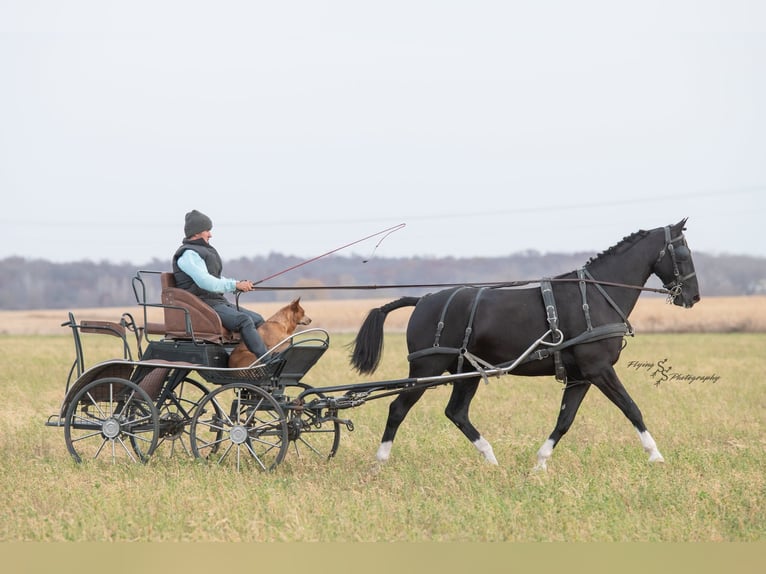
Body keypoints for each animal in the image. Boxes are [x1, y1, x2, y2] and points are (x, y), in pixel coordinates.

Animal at [350, 219, 700, 469]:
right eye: (683, 252)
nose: (693, 297)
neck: (595, 295)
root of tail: (423, 299)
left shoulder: (581, 376)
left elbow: (565, 420)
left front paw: (540, 463)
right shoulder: (599, 370)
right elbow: (631, 408)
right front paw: (655, 455)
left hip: (466, 373)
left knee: (456, 412)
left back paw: (491, 459)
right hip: (427, 369)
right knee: (398, 408)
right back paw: (380, 462)